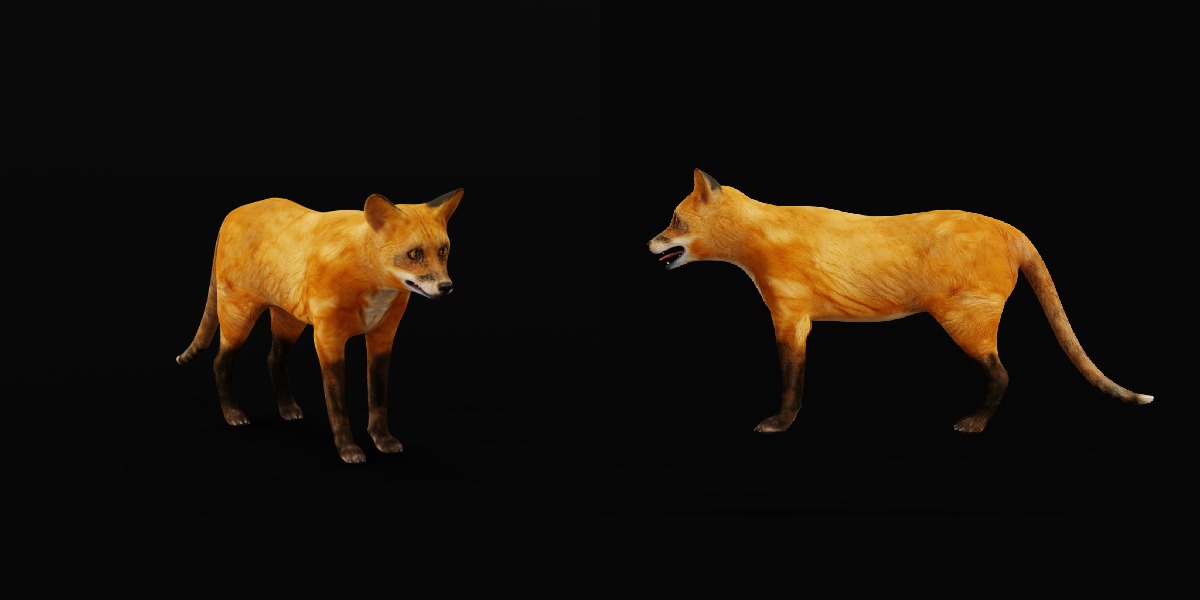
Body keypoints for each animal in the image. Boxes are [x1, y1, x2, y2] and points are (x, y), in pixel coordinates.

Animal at [177, 188, 463, 463]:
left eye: (442, 251)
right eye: (414, 254)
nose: (446, 287)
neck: (370, 282)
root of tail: (233, 212)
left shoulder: (383, 337)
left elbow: (378, 397)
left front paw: (382, 439)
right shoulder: (328, 338)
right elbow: (338, 405)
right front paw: (347, 449)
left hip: (289, 322)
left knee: (273, 359)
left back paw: (287, 409)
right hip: (239, 318)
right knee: (220, 363)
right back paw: (233, 413)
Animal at [647, 168, 1152, 435]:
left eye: (674, 221)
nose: (648, 243)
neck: (760, 240)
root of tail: (1009, 227)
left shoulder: (789, 318)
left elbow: (792, 381)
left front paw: (780, 423)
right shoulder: (796, 320)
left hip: (965, 324)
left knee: (1003, 375)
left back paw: (974, 422)